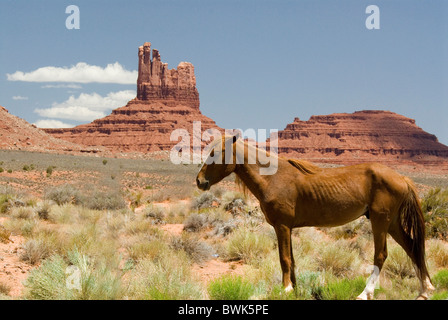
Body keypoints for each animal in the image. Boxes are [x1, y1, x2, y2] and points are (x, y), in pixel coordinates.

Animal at [196, 134, 434, 300]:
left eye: (216, 153)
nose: (199, 181)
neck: (273, 178)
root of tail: (402, 178)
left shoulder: (282, 226)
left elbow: (284, 259)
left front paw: (285, 289)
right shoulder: (288, 228)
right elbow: (292, 260)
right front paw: (294, 288)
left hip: (380, 221)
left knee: (381, 255)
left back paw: (365, 293)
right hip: (392, 223)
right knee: (412, 248)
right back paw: (425, 291)